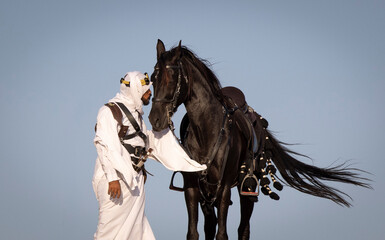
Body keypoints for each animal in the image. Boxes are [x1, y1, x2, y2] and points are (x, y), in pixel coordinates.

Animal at [148, 39, 368, 240]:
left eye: (172, 77)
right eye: (152, 78)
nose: (155, 119)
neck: (207, 133)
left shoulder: (223, 189)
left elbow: (223, 234)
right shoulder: (193, 188)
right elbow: (194, 233)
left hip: (247, 189)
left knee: (243, 229)